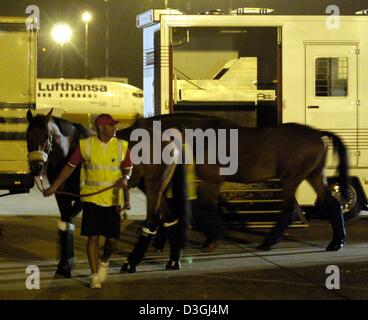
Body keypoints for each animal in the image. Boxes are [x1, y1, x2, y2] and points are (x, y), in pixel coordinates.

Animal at [118, 112, 348, 272]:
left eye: (136, 135)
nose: (118, 134)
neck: (201, 136)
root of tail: (317, 134)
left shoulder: (210, 182)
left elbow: (206, 209)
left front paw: (211, 240)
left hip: (292, 178)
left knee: (289, 210)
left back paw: (269, 242)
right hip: (313, 176)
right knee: (331, 203)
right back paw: (336, 242)